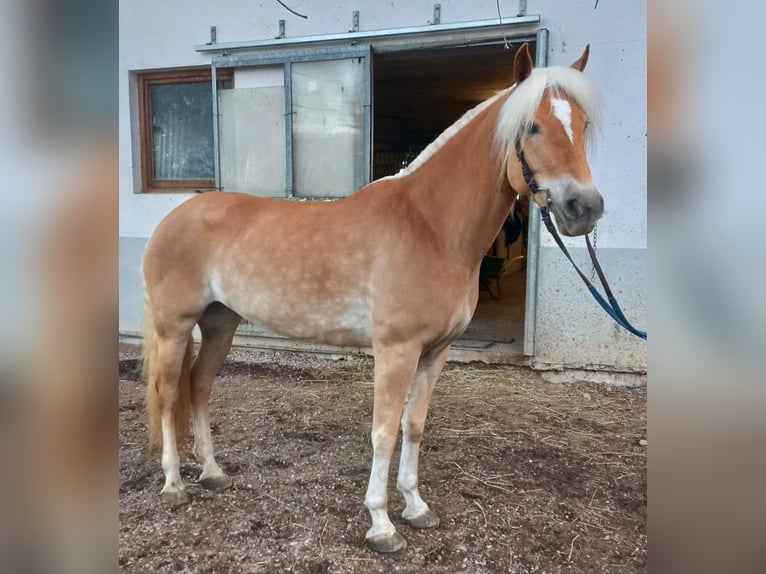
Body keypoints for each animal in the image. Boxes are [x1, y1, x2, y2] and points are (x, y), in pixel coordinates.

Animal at [141, 42, 604, 556]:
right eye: (532, 126)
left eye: (583, 124)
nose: (585, 208)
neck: (430, 226)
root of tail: (173, 217)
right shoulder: (396, 350)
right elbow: (383, 431)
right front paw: (381, 525)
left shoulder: (435, 353)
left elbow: (413, 425)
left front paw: (416, 508)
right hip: (175, 326)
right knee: (168, 395)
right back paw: (174, 485)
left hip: (220, 323)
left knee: (200, 386)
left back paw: (213, 473)